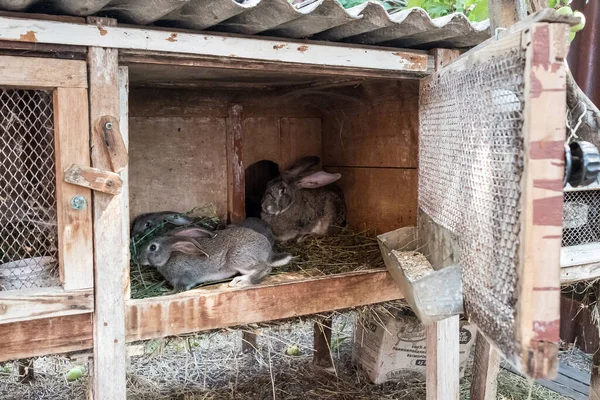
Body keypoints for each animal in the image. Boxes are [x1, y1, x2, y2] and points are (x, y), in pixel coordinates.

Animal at [139, 225, 292, 290]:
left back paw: (241, 282)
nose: (138, 259)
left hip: (237, 258)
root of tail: (268, 252)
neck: (170, 255)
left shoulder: (185, 277)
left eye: (152, 247)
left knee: (265, 268)